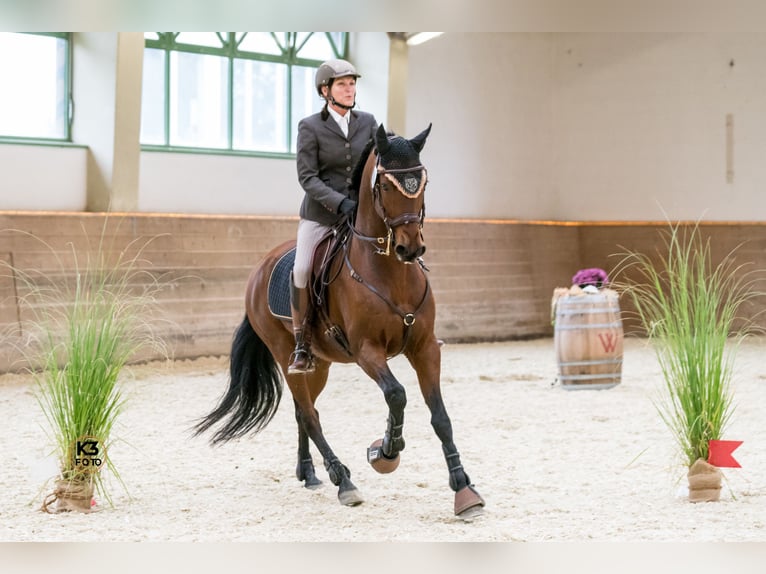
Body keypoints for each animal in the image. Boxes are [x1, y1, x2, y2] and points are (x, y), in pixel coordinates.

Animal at [198, 124, 486, 520]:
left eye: (422, 183)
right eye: (385, 186)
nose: (409, 248)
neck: (390, 272)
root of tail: (260, 269)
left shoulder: (425, 348)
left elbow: (440, 416)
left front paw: (463, 488)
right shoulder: (367, 351)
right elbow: (397, 395)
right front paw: (385, 451)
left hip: (319, 364)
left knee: (304, 411)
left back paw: (309, 473)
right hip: (287, 354)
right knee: (309, 414)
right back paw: (343, 481)